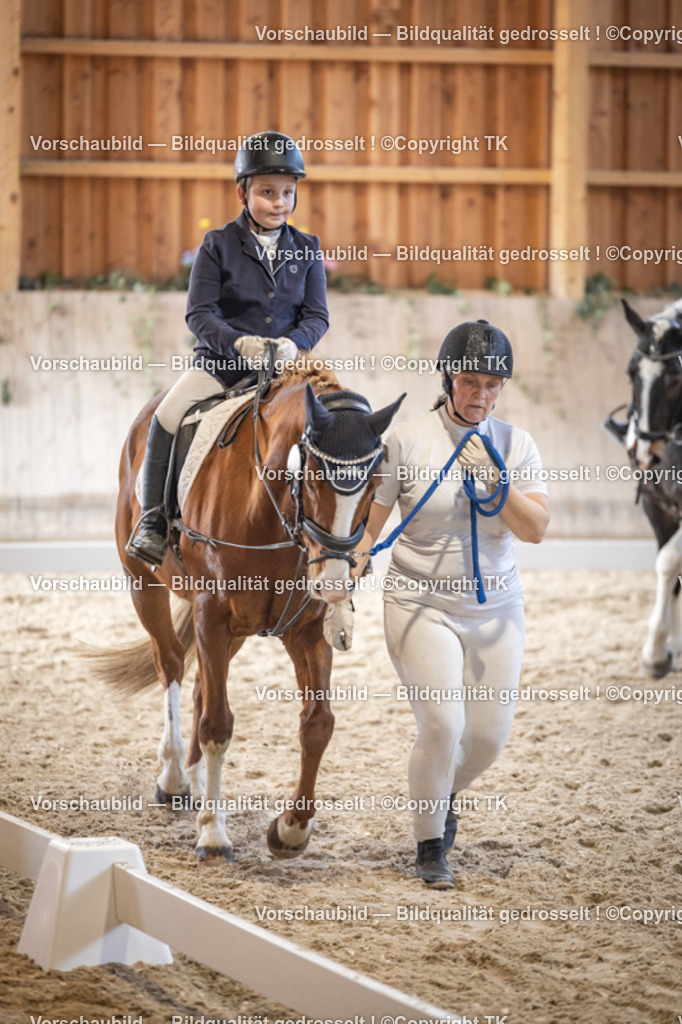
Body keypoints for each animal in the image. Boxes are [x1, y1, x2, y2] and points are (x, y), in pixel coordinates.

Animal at [92, 361, 403, 862]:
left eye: (375, 486)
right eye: (312, 478)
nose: (335, 583)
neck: (274, 514)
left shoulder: (305, 629)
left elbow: (318, 724)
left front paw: (291, 829)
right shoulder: (211, 614)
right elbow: (218, 724)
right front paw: (213, 836)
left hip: (234, 630)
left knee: (200, 688)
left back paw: (196, 778)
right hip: (144, 584)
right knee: (172, 665)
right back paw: (174, 778)